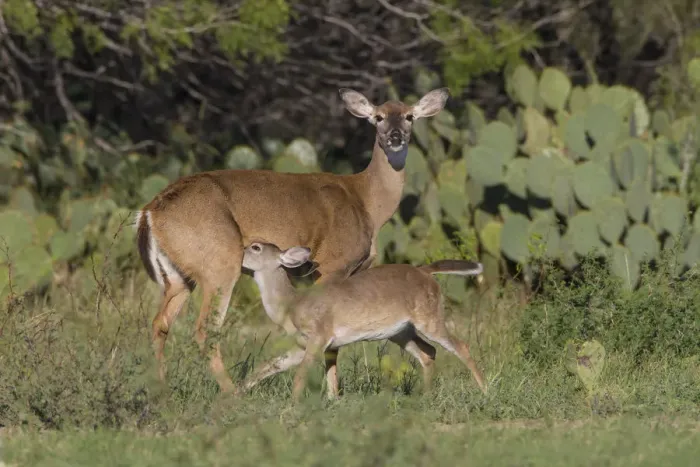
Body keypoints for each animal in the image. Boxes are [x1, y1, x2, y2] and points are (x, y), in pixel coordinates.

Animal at [134, 87, 450, 393]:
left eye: (409, 116)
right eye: (379, 117)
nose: (396, 137)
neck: (366, 201)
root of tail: (149, 211)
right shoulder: (332, 263)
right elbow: (330, 339)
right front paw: (331, 395)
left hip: (179, 275)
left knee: (160, 323)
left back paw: (162, 392)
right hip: (220, 262)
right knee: (205, 329)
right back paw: (231, 394)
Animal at [239, 241, 487, 401]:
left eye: (255, 247)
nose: (238, 254)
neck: (291, 305)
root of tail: (425, 272)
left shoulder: (319, 333)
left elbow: (300, 374)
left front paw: (293, 404)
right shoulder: (306, 344)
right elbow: (273, 364)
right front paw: (238, 392)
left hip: (429, 317)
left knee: (460, 346)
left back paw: (484, 390)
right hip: (400, 331)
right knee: (428, 352)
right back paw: (425, 396)